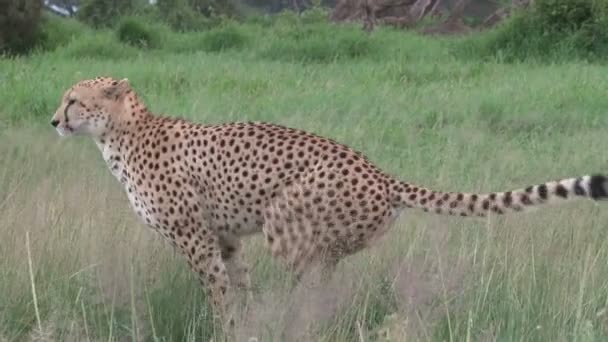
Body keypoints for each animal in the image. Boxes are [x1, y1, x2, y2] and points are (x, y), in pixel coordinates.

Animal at [51, 75, 608, 328]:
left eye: (74, 99)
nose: (54, 120)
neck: (122, 133)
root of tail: (382, 174)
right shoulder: (225, 238)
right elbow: (240, 285)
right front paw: (249, 325)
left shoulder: (195, 238)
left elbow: (219, 295)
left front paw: (226, 329)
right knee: (327, 282)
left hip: (285, 221)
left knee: (318, 289)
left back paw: (304, 323)